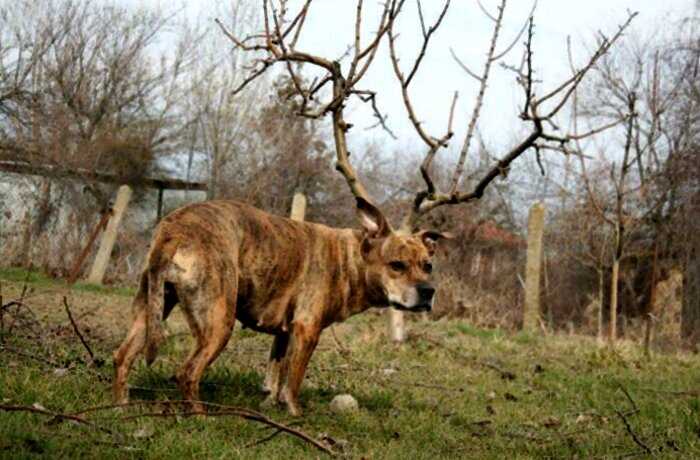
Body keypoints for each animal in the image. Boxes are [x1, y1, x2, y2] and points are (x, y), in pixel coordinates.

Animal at [110, 198, 448, 416]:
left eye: (428, 266)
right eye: (397, 265)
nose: (428, 291)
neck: (351, 258)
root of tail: (175, 229)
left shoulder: (285, 333)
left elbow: (277, 372)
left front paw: (270, 403)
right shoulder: (307, 331)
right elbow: (293, 378)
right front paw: (294, 413)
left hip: (150, 309)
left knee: (123, 356)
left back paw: (120, 406)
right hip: (218, 325)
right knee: (188, 372)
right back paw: (200, 415)